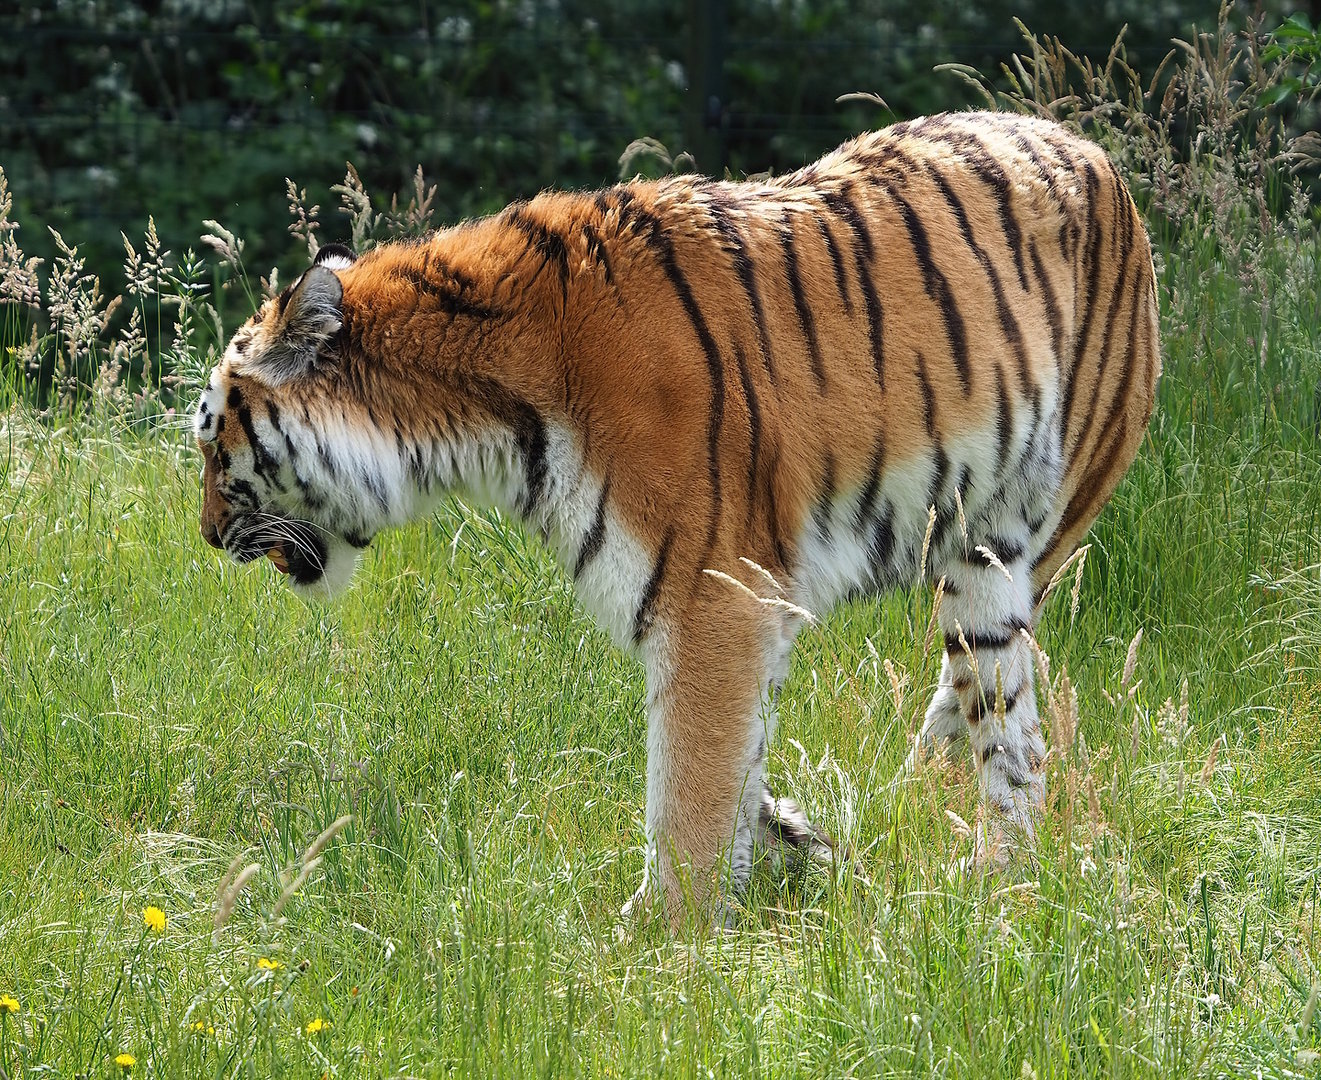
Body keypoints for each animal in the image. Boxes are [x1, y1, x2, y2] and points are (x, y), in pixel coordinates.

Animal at [194, 110, 1161, 925]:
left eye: (212, 444)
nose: (205, 537)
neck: (477, 420)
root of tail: (1086, 147)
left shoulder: (711, 597)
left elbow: (686, 784)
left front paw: (658, 942)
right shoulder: (744, 609)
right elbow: (736, 765)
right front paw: (788, 843)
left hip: (1028, 523)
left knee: (1002, 728)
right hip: (979, 576)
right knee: (1006, 727)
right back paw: (984, 869)